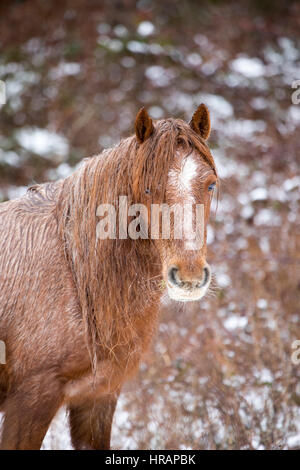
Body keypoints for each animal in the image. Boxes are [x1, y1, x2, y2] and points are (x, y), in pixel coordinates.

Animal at [0, 104, 217, 450]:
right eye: (147, 189)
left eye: (210, 185)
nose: (189, 276)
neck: (74, 275)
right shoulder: (30, 401)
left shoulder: (99, 395)